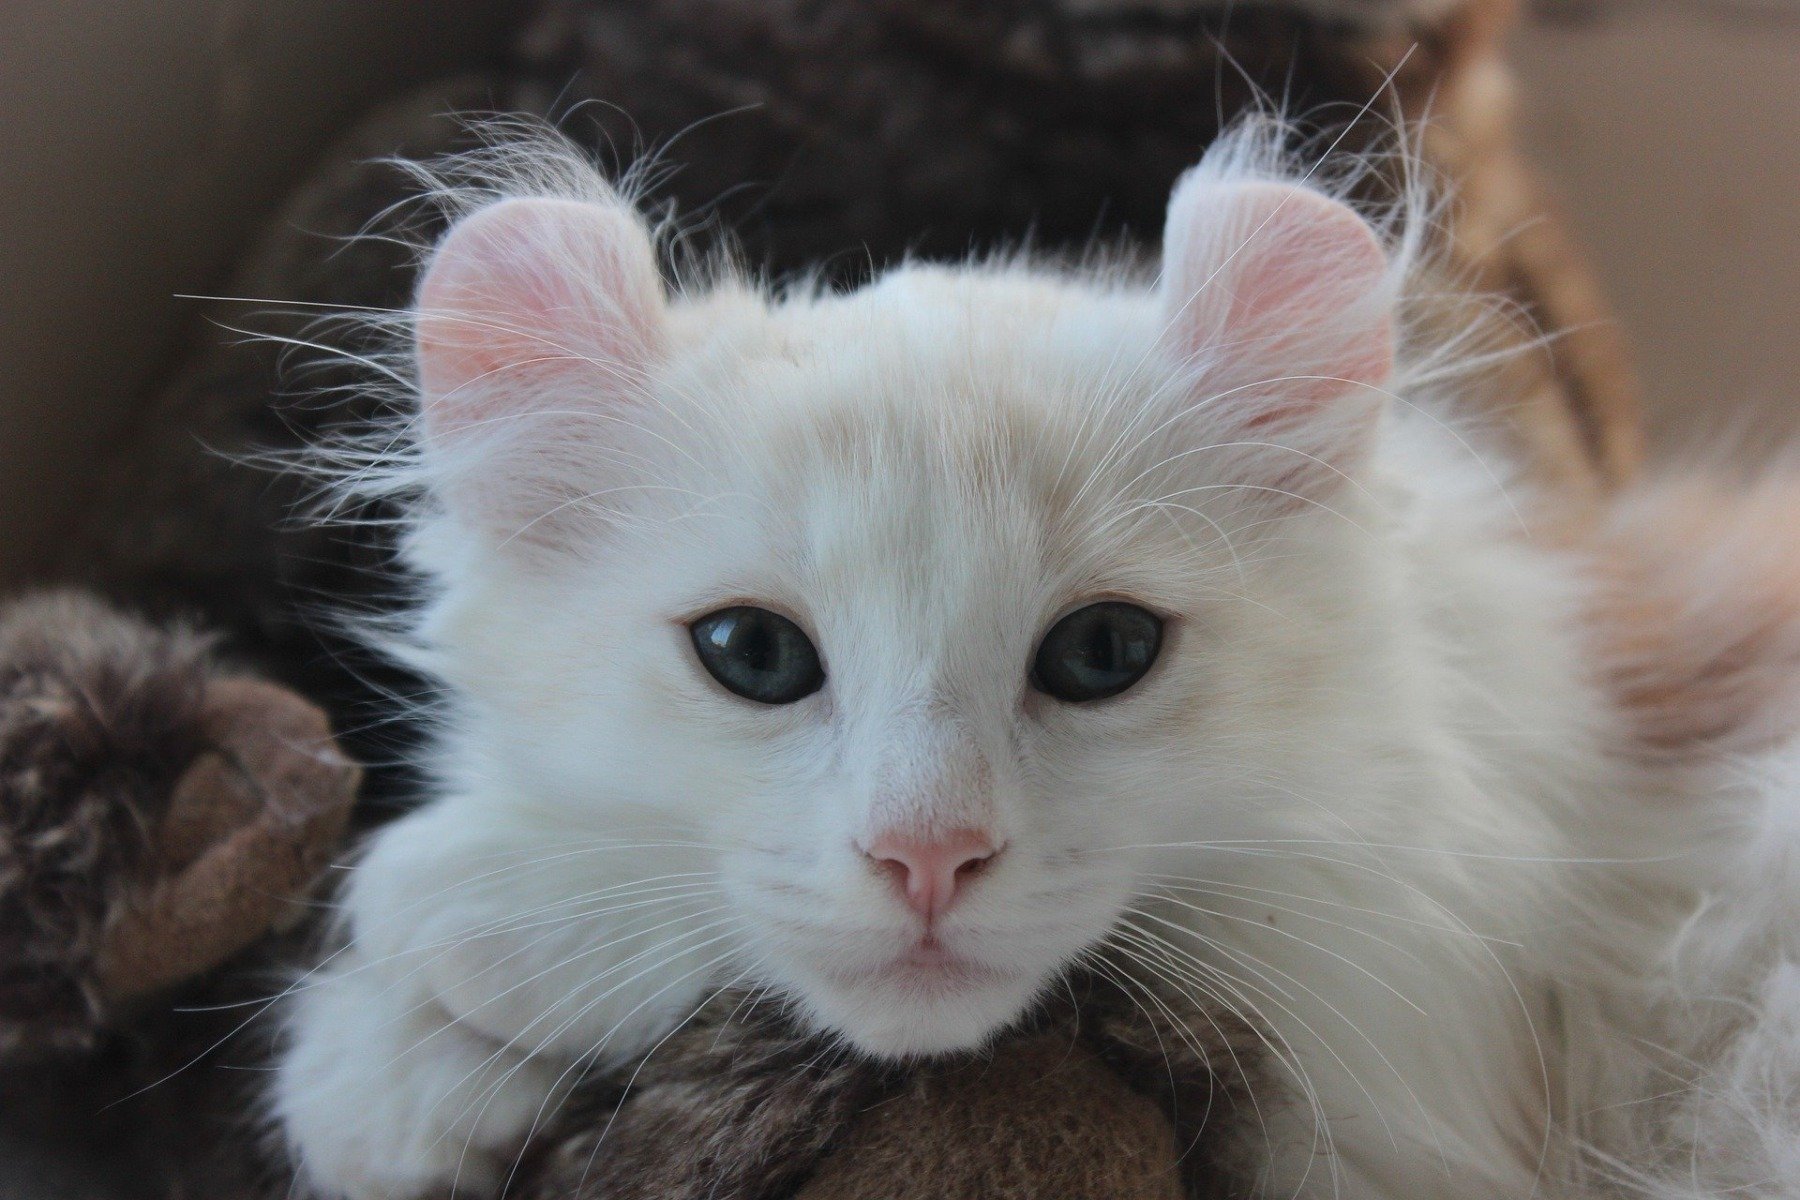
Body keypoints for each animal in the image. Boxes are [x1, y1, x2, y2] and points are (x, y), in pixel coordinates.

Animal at [270, 124, 1800, 1200]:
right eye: (753, 655)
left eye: (1103, 653)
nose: (927, 856)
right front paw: (392, 1074)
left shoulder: (1435, 993)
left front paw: (461, 911)